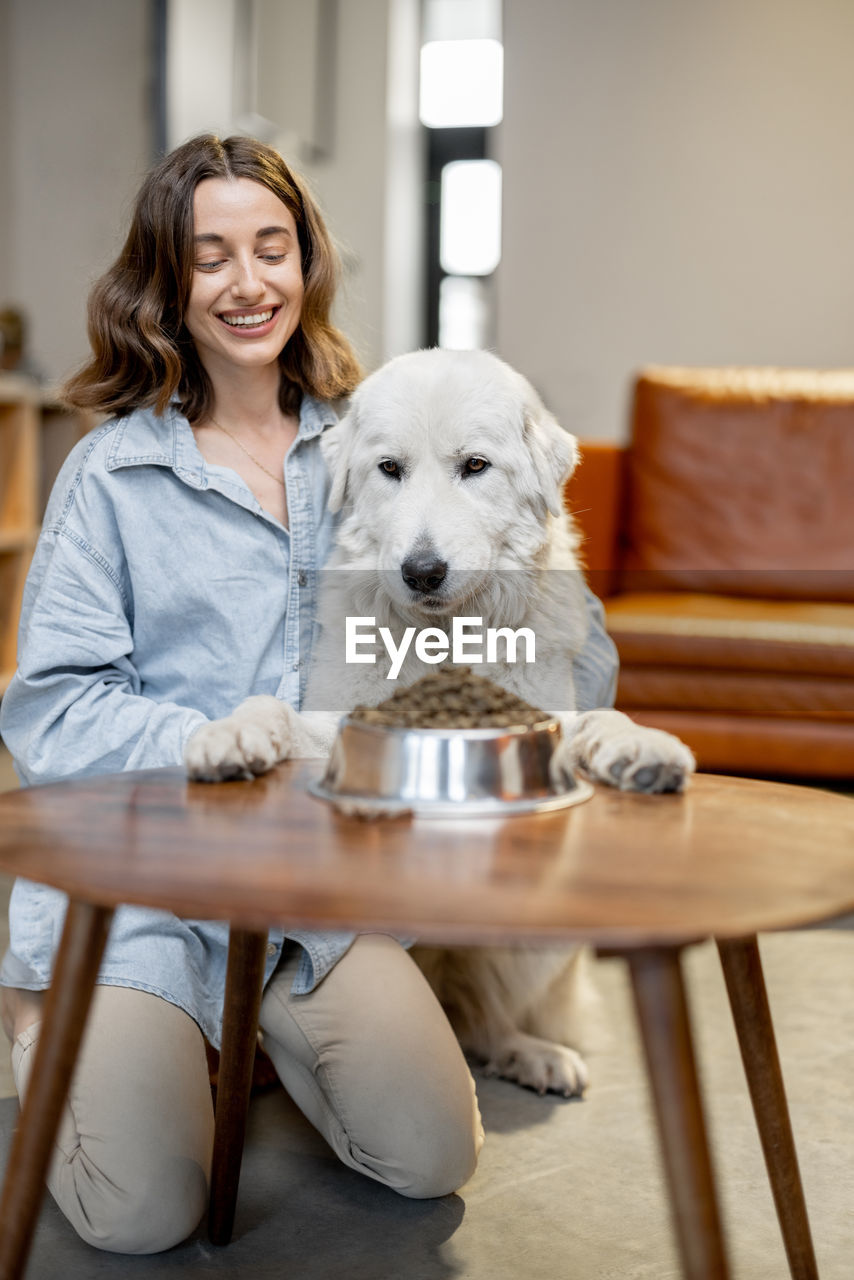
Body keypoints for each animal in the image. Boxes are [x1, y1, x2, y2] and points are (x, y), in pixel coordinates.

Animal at [186, 348, 696, 1090]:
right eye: (389, 468)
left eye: (475, 466)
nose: (422, 571)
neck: (443, 639)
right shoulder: (336, 725)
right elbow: (271, 708)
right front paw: (231, 735)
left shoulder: (549, 722)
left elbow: (607, 723)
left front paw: (645, 751)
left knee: (480, 1017)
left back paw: (531, 1053)